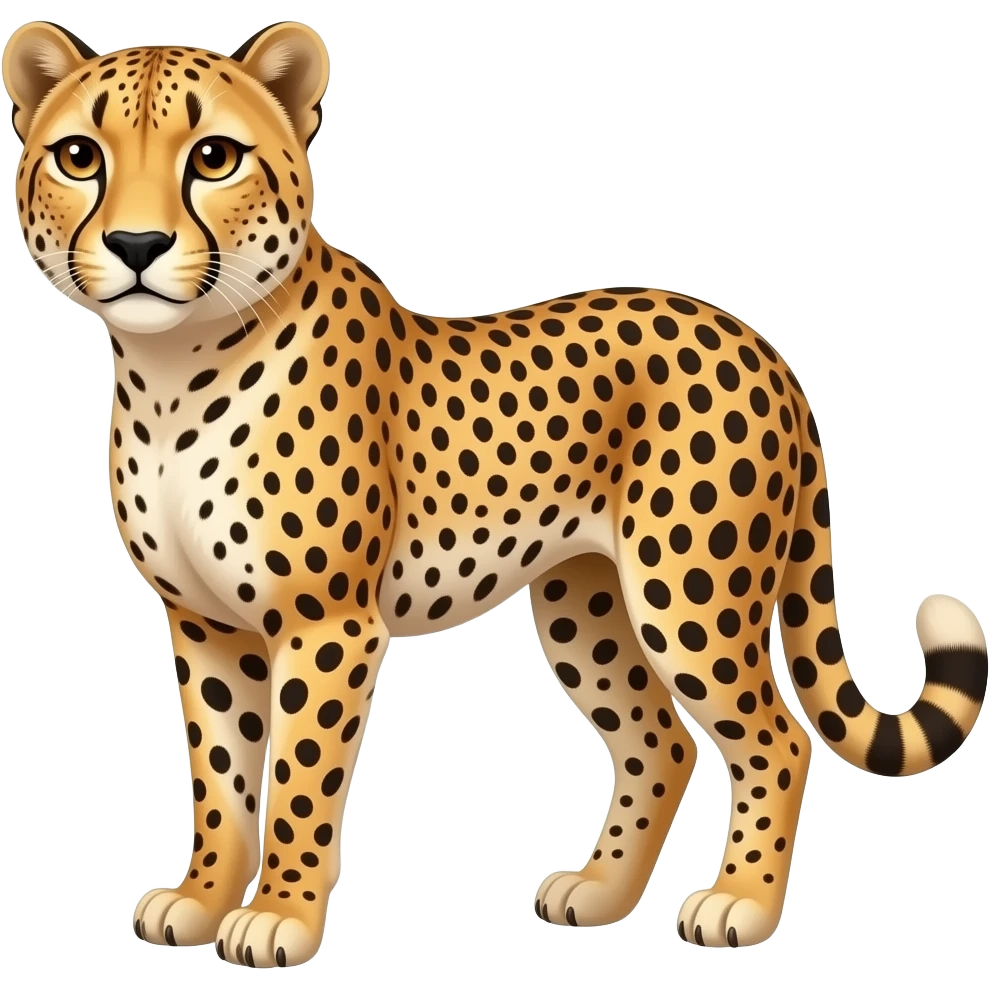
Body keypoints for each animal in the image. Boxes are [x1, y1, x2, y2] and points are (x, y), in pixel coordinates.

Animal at [4, 17, 987, 966]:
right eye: (80, 156)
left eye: (213, 157)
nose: (137, 246)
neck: (173, 366)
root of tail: (755, 341)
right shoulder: (206, 624)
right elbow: (220, 778)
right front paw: (203, 897)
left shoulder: (327, 625)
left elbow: (296, 781)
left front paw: (278, 915)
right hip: (586, 604)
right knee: (660, 741)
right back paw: (600, 892)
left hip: (689, 596)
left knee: (776, 740)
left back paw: (738, 904)